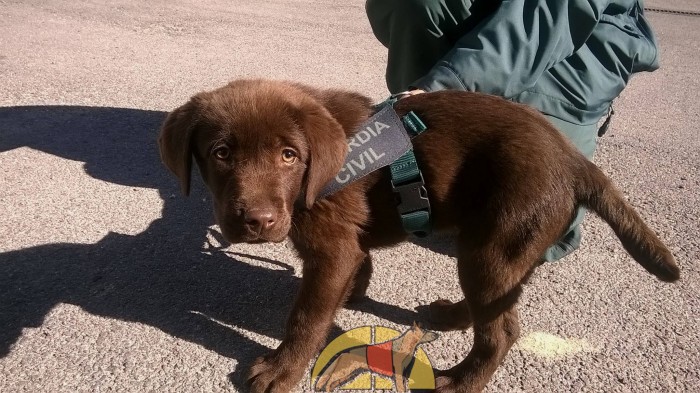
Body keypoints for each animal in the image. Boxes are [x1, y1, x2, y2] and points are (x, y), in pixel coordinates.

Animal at [157, 78, 680, 390]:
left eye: (289, 155)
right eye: (221, 153)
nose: (257, 221)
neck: (322, 172)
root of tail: (574, 159)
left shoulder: (332, 248)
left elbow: (305, 318)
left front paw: (281, 370)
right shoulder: (348, 245)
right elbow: (355, 270)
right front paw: (351, 294)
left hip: (493, 241)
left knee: (502, 330)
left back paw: (458, 381)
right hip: (507, 244)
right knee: (497, 303)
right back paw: (450, 317)